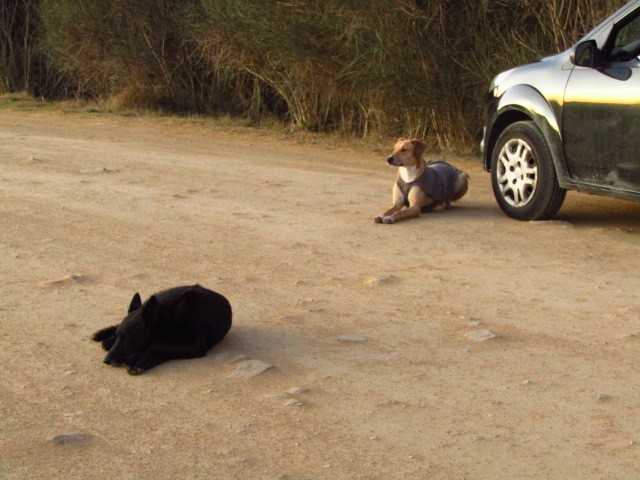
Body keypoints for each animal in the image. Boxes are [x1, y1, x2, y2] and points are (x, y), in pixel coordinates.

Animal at [92, 284, 232, 376]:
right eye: (119, 337)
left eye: (128, 340)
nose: (105, 361)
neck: (167, 320)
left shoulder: (194, 348)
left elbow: (156, 347)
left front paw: (139, 362)